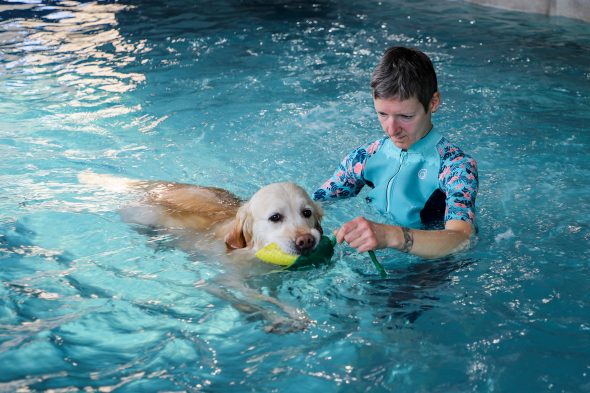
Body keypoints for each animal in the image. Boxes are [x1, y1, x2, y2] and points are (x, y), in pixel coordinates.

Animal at [77, 172, 326, 330]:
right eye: (275, 217)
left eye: (306, 213)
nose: (306, 241)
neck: (250, 252)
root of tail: (159, 185)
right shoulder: (216, 283)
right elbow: (250, 302)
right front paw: (275, 318)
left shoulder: (270, 282)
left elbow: (273, 299)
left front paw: (295, 312)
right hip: (142, 217)